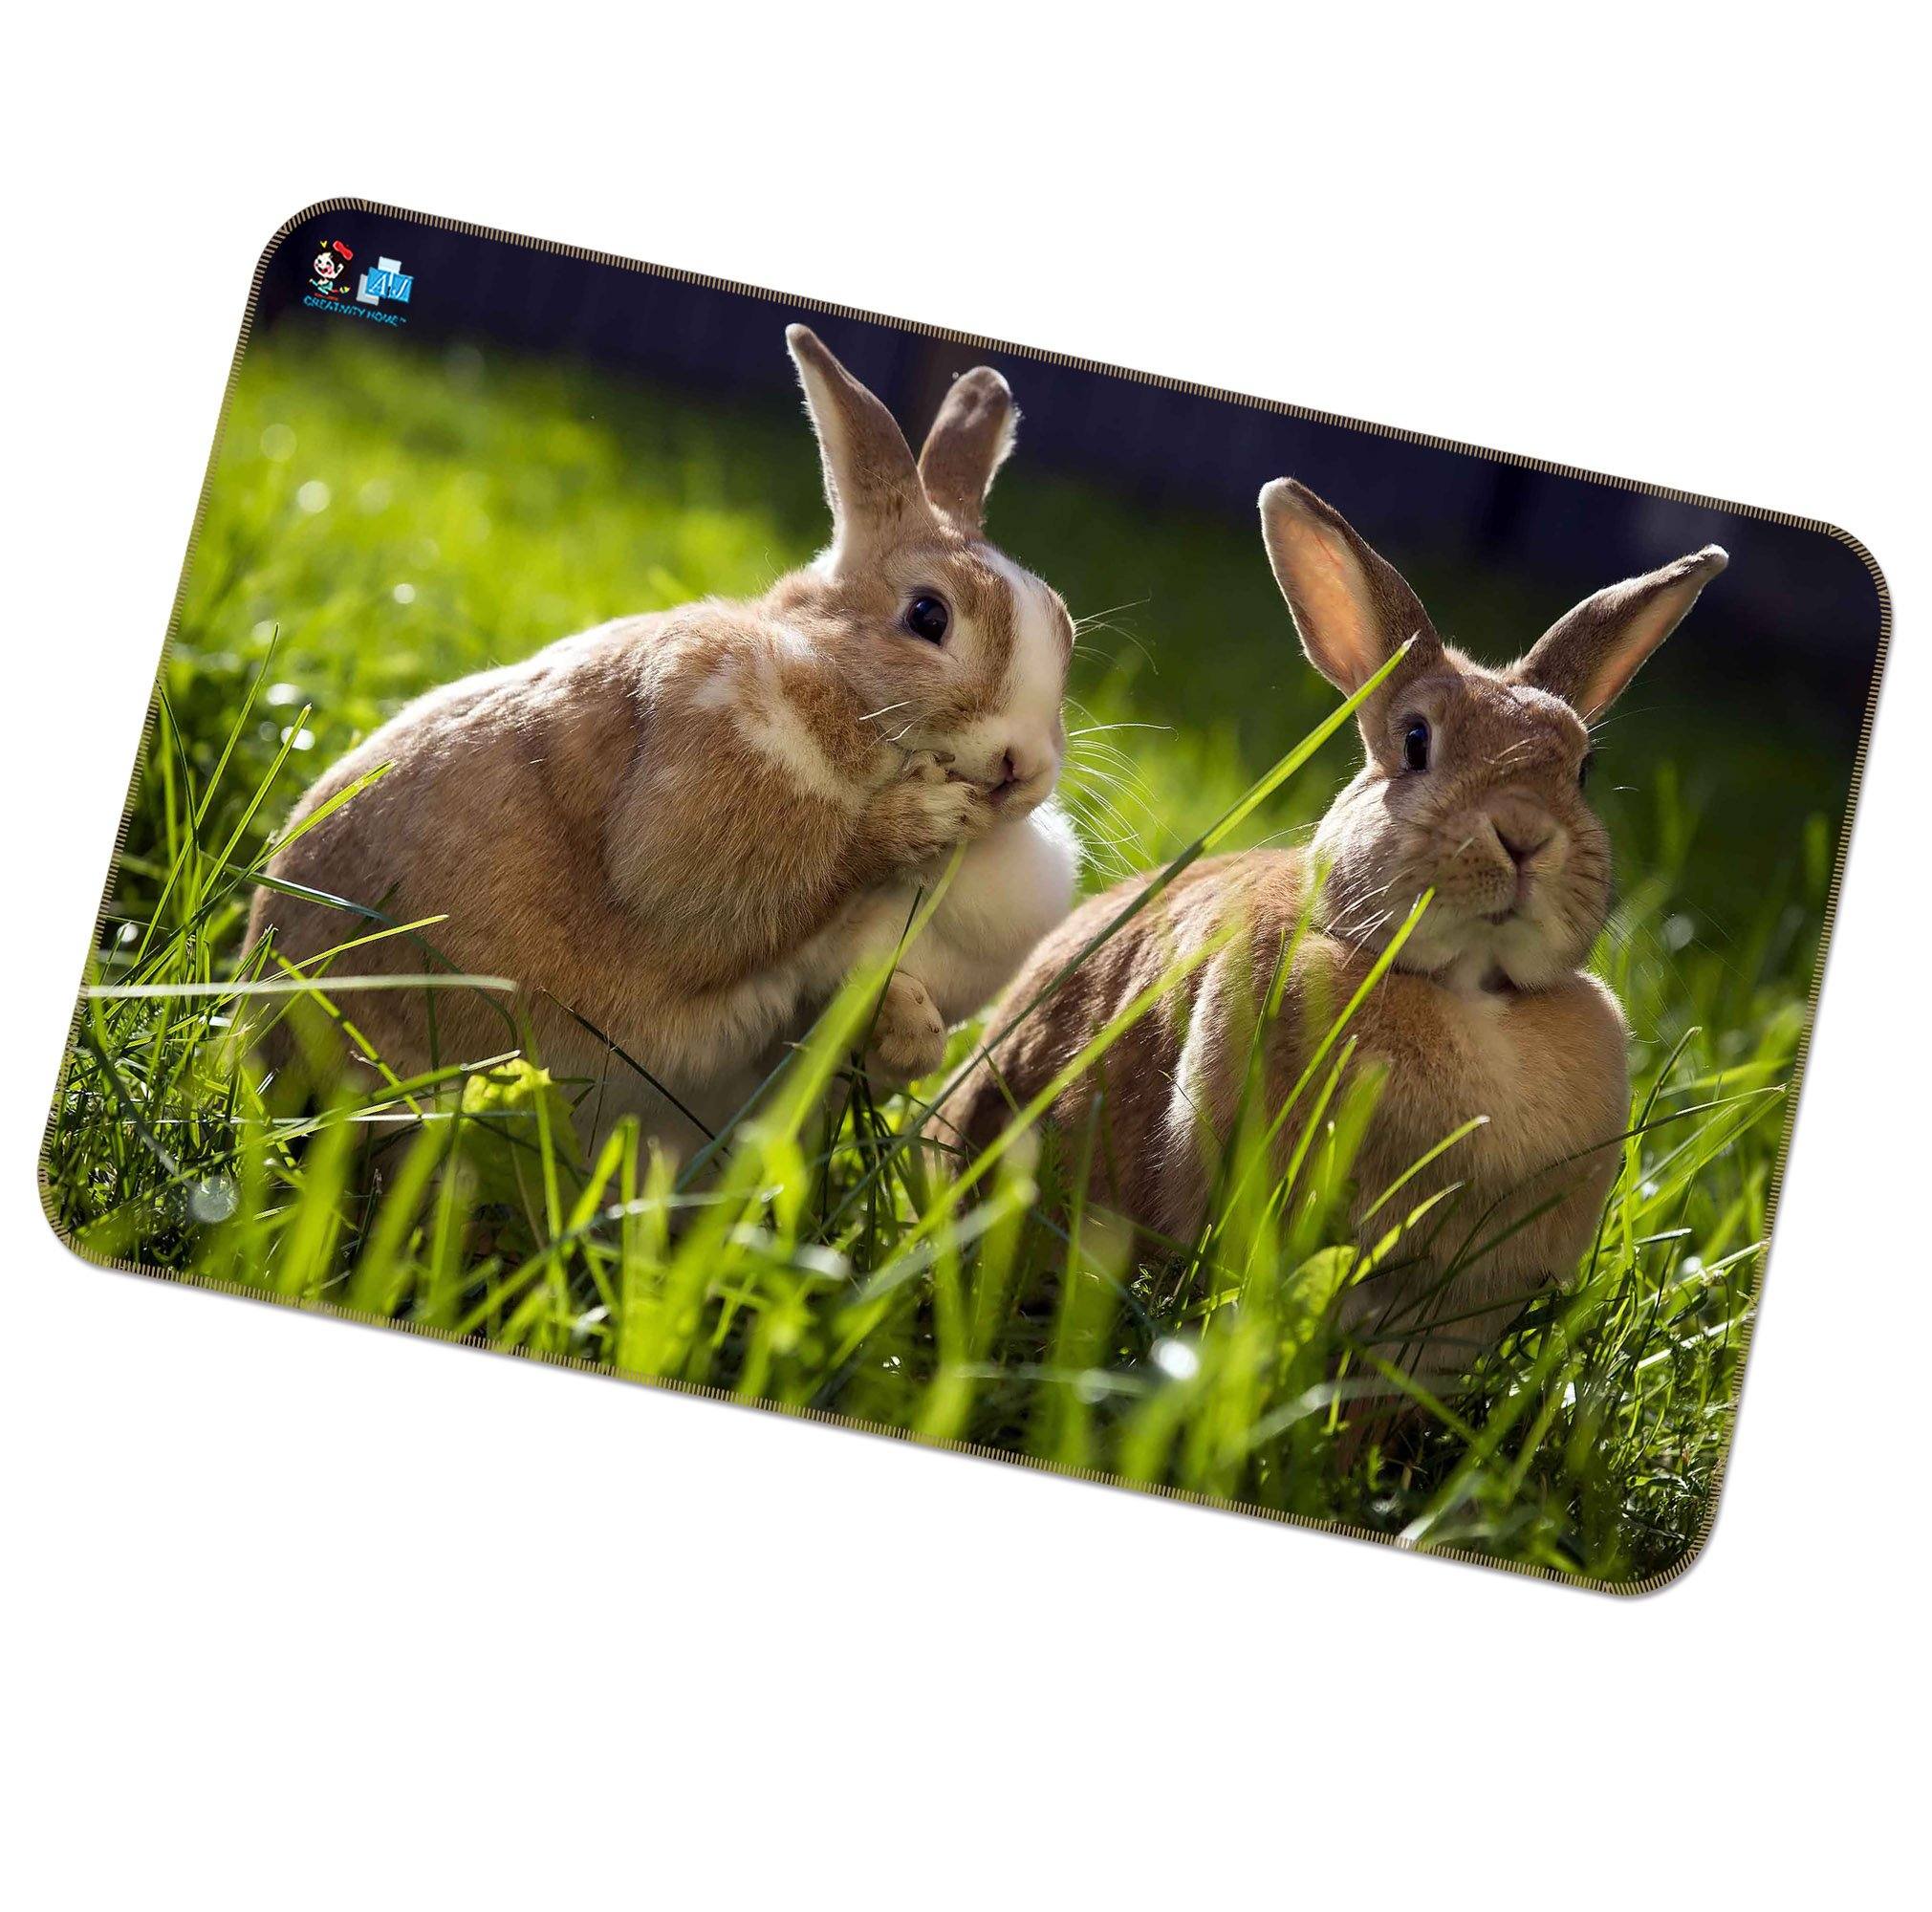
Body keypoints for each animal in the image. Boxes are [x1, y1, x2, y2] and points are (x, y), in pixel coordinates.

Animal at [245, 324, 1079, 1159]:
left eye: (1065, 627)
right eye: (928, 616)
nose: (1024, 767)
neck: (842, 686)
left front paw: (913, 1037)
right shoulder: (703, 809)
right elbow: (781, 889)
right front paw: (926, 822)